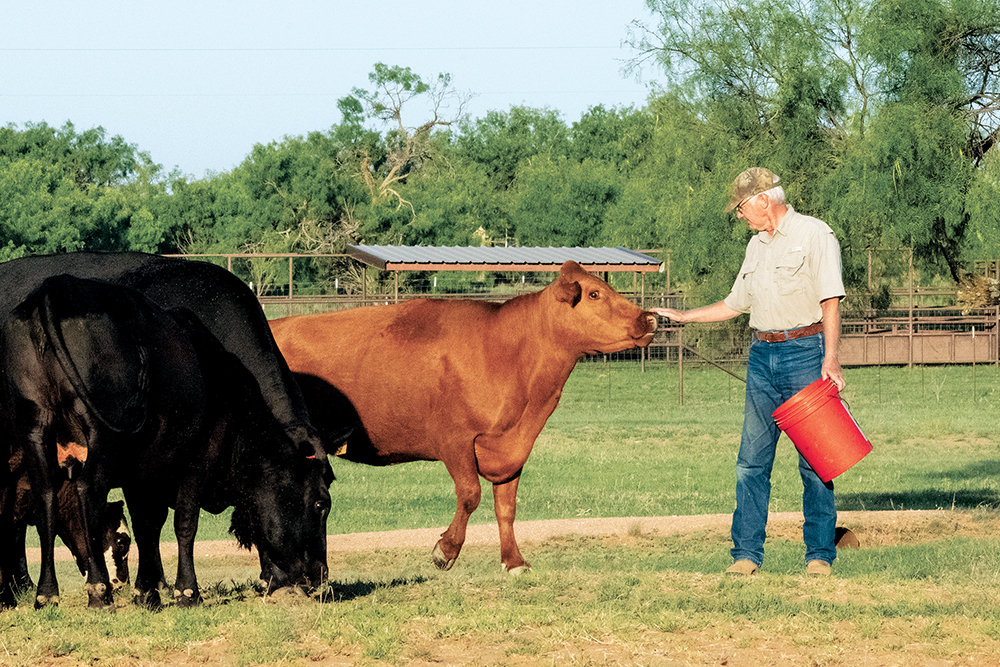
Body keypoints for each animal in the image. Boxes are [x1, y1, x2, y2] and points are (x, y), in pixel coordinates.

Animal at [0, 252, 340, 612]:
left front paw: (147, 590)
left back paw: (44, 592)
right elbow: (183, 521)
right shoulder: (197, 455)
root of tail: (58, 287)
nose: (321, 577)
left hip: (36, 427)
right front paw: (185, 591)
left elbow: (148, 525)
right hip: (101, 438)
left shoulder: (143, 470)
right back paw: (95, 589)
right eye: (322, 504)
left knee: (45, 498)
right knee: (85, 493)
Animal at [270, 260, 656, 576]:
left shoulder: (512, 447)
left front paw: (514, 561)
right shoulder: (455, 441)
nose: (649, 318)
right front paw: (446, 550)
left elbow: (507, 506)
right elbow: (471, 494)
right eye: (594, 293)